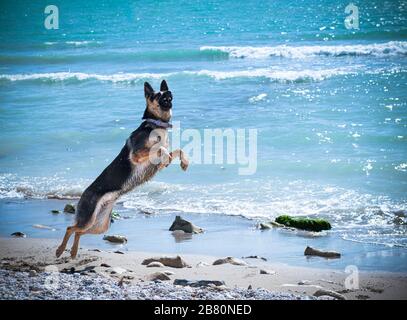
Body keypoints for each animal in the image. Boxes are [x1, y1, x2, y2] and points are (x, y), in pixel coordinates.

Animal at [56, 80, 190, 260]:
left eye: (165, 91)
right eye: (157, 95)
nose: (168, 92)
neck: (155, 124)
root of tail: (83, 193)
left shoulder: (161, 163)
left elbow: (177, 150)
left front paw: (185, 162)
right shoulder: (137, 154)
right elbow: (159, 147)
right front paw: (165, 150)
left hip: (100, 226)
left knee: (78, 232)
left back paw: (73, 251)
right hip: (90, 219)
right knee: (70, 228)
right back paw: (60, 250)